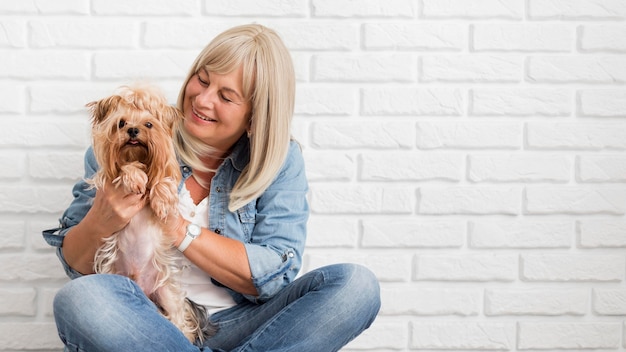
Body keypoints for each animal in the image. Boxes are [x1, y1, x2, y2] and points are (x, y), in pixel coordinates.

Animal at [85, 84, 213, 342]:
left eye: (149, 124)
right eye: (121, 123)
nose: (133, 130)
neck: (138, 156)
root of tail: (142, 289)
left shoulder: (164, 172)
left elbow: (163, 181)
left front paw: (161, 199)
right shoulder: (108, 177)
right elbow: (125, 168)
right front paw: (135, 176)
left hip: (164, 291)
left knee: (178, 317)